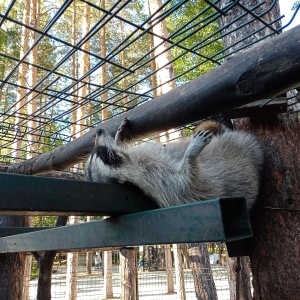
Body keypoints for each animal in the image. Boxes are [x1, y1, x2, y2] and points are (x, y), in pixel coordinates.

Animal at [85, 118, 264, 210]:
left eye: (96, 151)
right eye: (105, 154)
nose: (98, 131)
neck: (131, 159)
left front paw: (119, 136)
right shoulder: (153, 176)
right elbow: (185, 185)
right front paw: (190, 154)